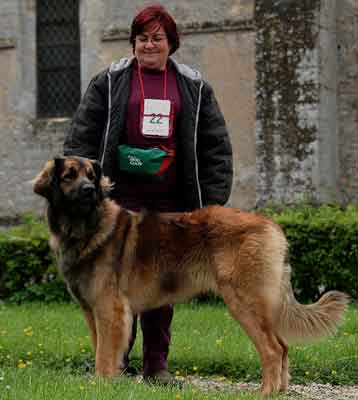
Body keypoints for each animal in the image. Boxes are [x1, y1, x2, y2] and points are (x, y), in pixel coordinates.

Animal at [34, 155, 350, 394]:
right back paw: (280, 390)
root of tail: (271, 226)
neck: (85, 228)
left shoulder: (109, 309)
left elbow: (104, 354)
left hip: (244, 300)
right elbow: (100, 347)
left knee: (272, 348)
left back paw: (265, 392)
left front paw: (101, 385)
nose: (89, 189)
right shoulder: (93, 311)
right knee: (283, 346)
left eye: (91, 175)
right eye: (69, 176)